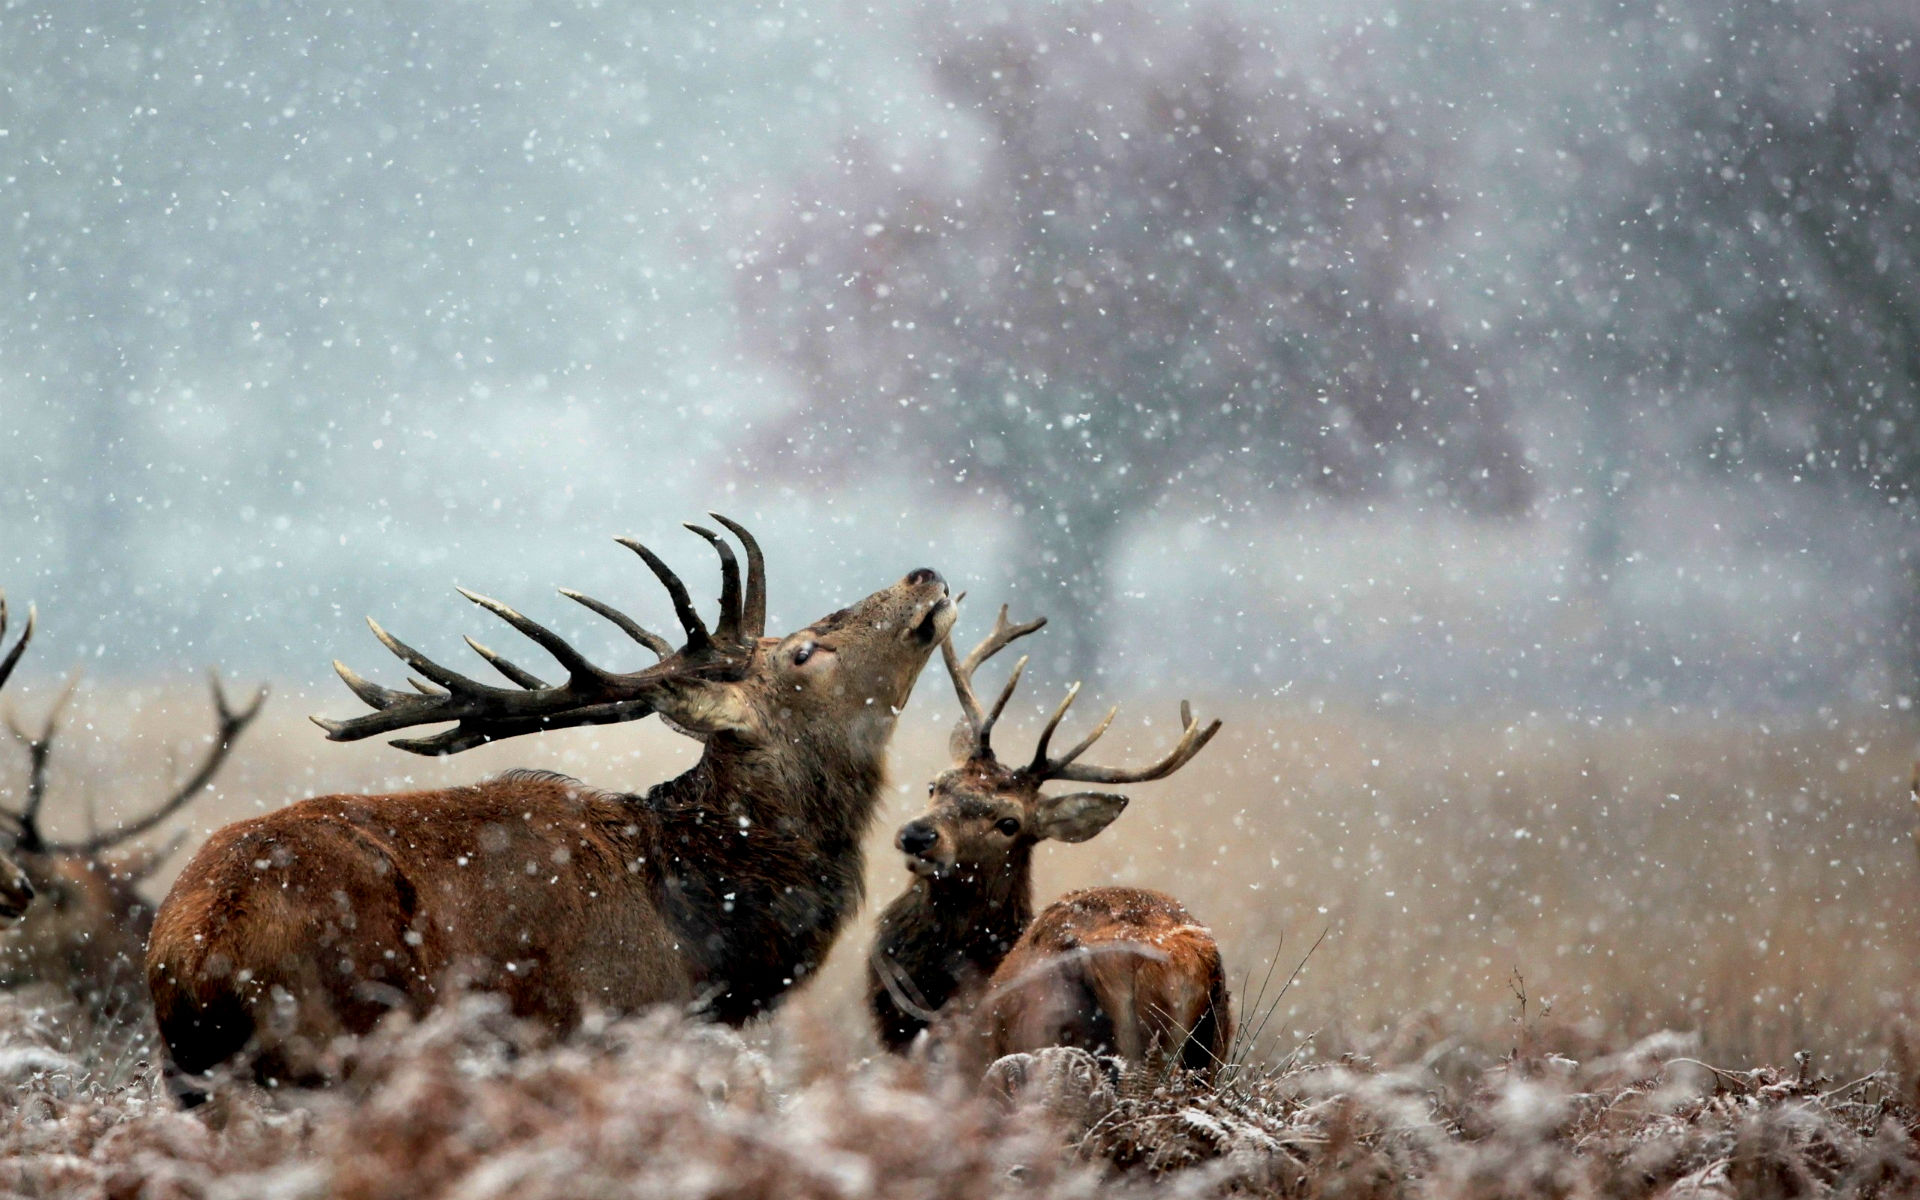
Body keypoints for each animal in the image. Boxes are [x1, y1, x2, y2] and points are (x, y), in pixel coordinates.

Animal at [145, 514, 956, 1098]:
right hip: (345, 1039)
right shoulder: (607, 1026)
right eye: (804, 652)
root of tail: (193, 951)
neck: (706, 940)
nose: (924, 575)